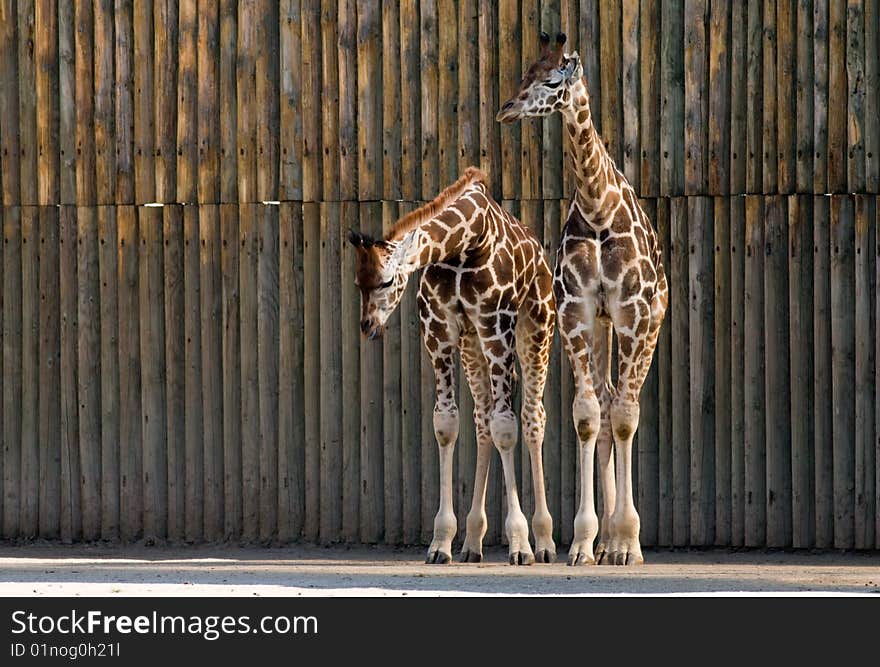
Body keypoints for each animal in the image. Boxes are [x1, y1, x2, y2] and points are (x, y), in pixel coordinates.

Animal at [350, 166, 556, 564]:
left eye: (386, 280)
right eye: (357, 282)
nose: (368, 326)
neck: (465, 247)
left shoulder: (496, 324)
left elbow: (506, 427)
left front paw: (520, 544)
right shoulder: (440, 329)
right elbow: (446, 424)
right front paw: (441, 542)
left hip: (535, 328)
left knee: (532, 418)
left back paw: (544, 542)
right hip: (472, 344)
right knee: (481, 419)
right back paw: (473, 543)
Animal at [496, 30, 668, 564]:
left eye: (553, 81)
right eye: (524, 72)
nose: (507, 108)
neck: (597, 207)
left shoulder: (631, 312)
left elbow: (627, 418)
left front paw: (628, 542)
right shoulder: (578, 312)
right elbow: (589, 416)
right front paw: (585, 541)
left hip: (649, 323)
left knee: (624, 406)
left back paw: (621, 542)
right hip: (601, 328)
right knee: (608, 401)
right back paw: (605, 540)